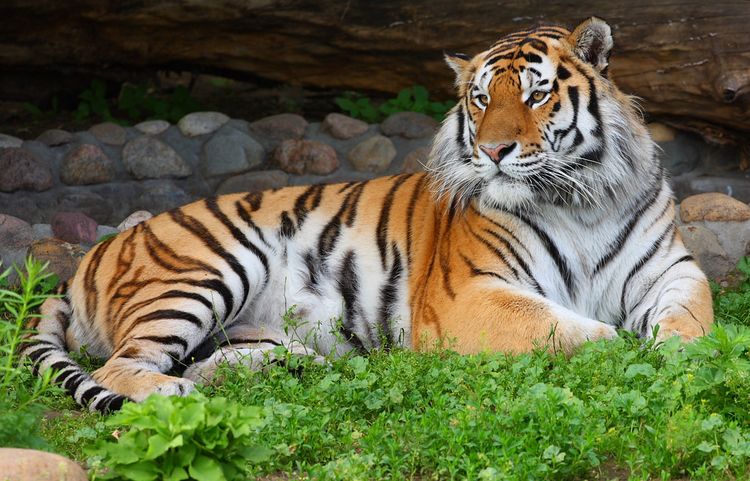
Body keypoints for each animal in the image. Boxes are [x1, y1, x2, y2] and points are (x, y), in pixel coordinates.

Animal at [24, 17, 713, 412]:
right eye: (481, 99)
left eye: (537, 93)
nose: (494, 150)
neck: (579, 198)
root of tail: (85, 260)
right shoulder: (471, 295)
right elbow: (575, 332)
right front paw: (623, 349)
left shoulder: (672, 272)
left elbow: (693, 324)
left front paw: (681, 354)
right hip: (207, 267)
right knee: (121, 365)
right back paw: (173, 391)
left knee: (213, 359)